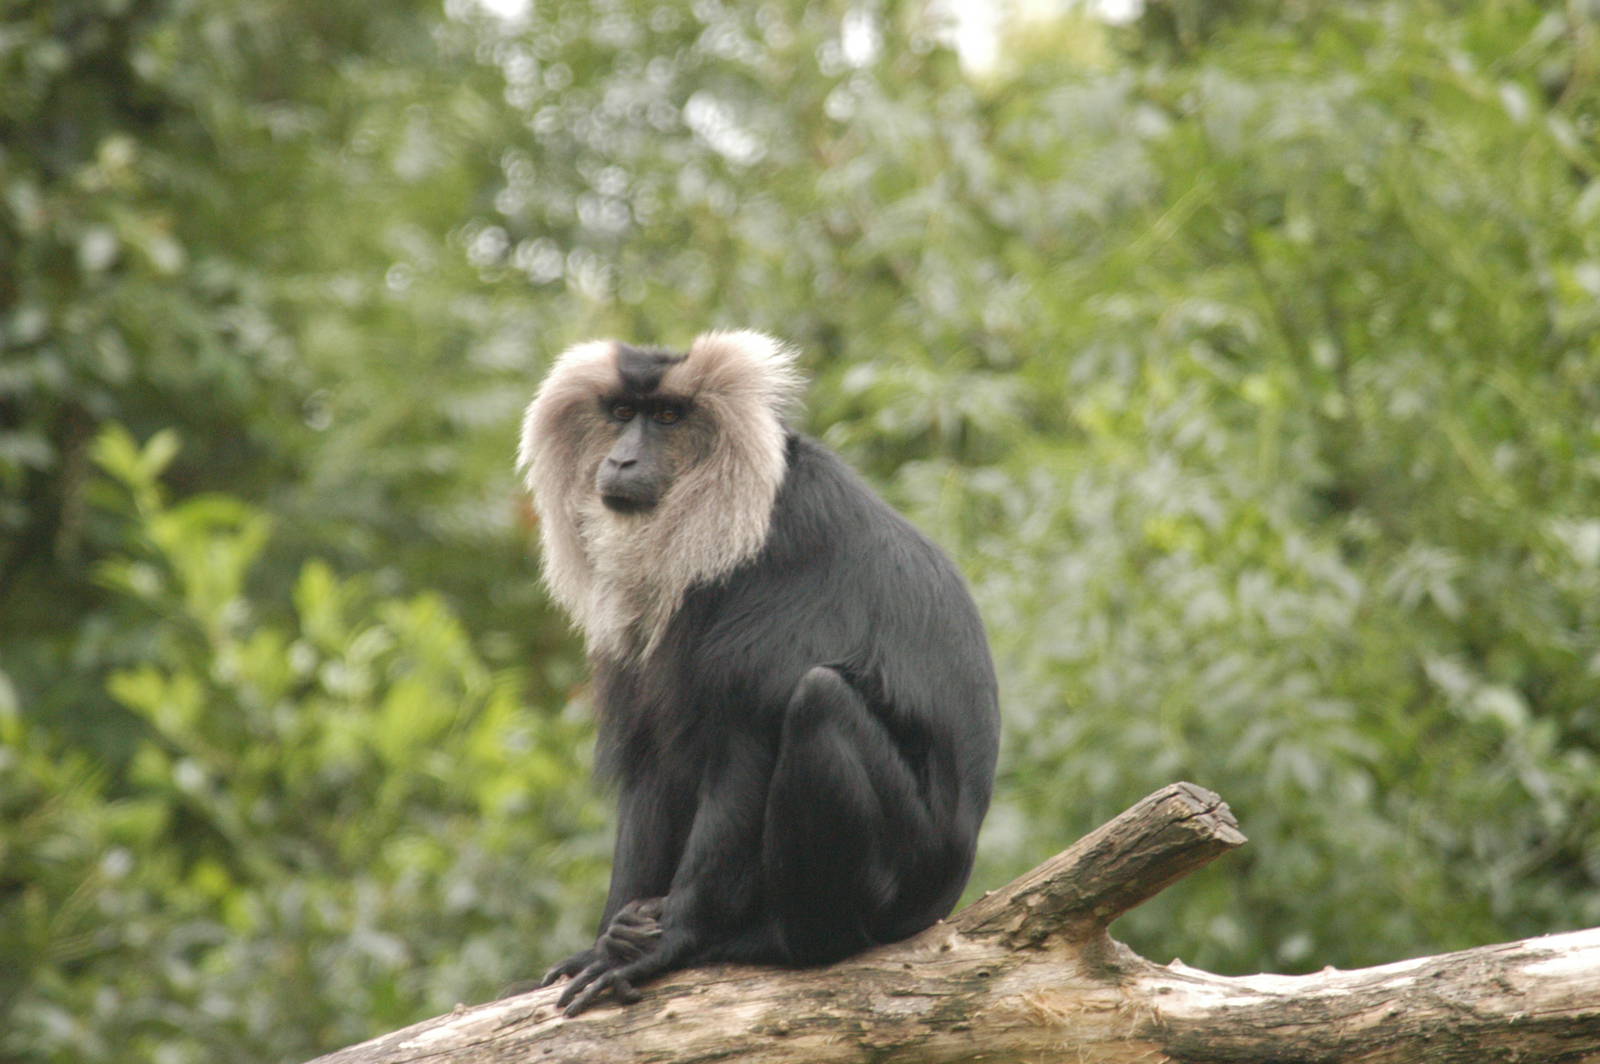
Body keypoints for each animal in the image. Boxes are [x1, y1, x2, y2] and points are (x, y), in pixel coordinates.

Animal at [517, 330, 999, 1016]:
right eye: (621, 413)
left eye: (669, 417)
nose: (623, 460)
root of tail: (947, 894)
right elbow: (651, 770)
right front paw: (602, 943)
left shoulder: (777, 572)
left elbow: (744, 757)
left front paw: (671, 943)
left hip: (903, 874)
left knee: (819, 701)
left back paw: (771, 940)